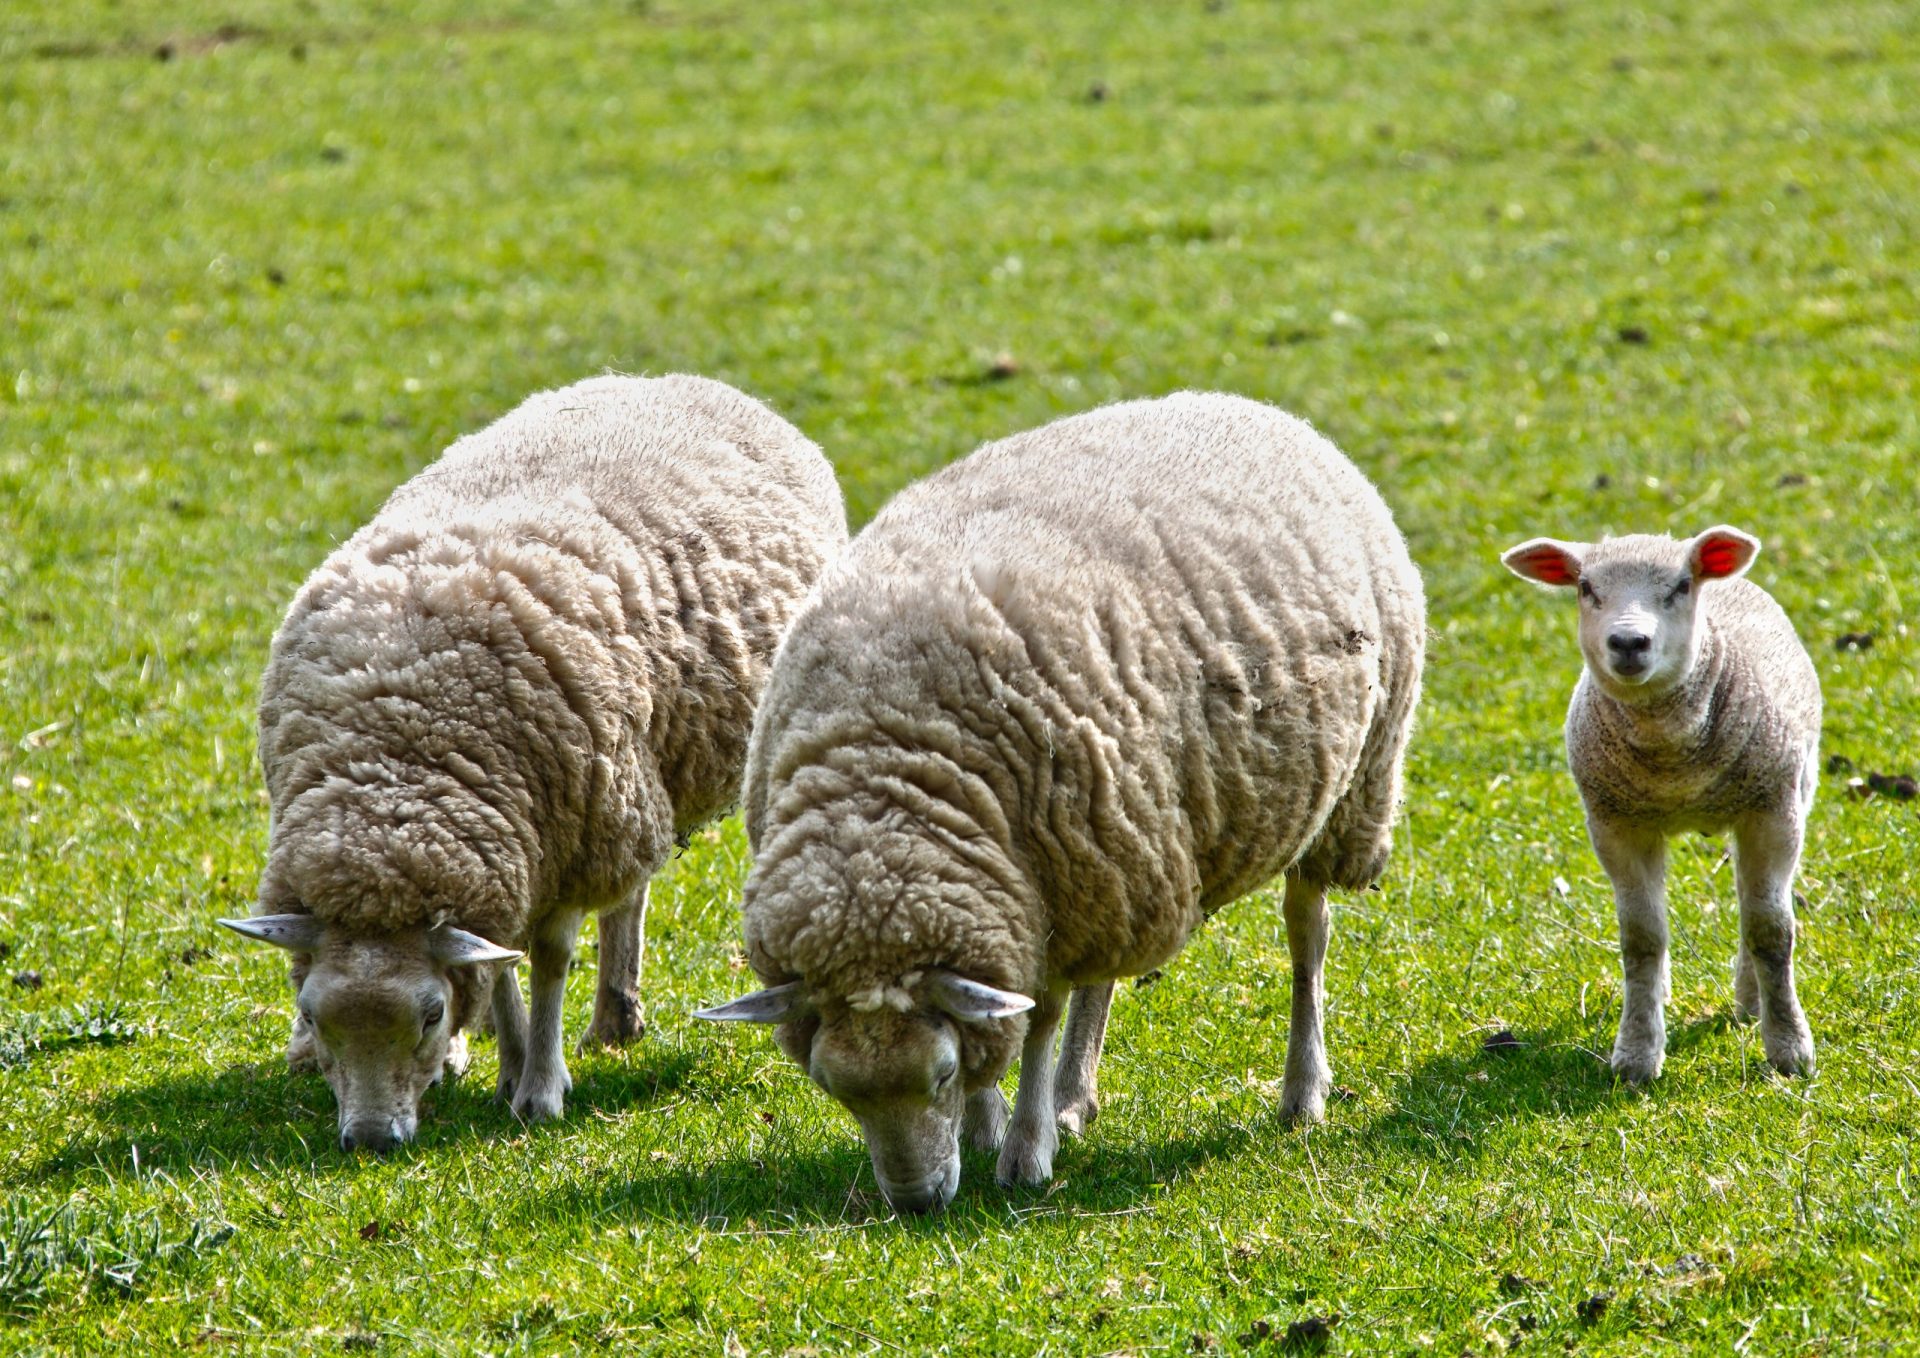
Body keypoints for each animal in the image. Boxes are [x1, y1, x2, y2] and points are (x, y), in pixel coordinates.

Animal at [222, 376, 848, 1152]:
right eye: (311, 1014)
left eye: (430, 1014)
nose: (370, 1140)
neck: (398, 764)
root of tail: (661, 378)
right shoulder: (508, 850)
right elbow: (499, 964)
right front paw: (510, 1061)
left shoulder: (566, 836)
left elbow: (547, 961)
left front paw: (539, 1089)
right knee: (630, 892)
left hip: (623, 789)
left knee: (626, 896)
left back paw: (612, 1017)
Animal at [698, 389, 1420, 1213]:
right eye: (833, 1089)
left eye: (939, 1075)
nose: (916, 1203)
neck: (885, 774)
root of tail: (1248, 405)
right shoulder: (1027, 887)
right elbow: (1011, 1010)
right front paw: (992, 1124)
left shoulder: (1042, 887)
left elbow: (1034, 1019)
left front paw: (1023, 1150)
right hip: (1120, 834)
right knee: (1102, 977)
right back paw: (1077, 1096)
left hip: (1340, 792)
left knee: (1307, 934)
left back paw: (1301, 1091)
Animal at [1497, 526, 1812, 1091]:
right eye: (1585, 588)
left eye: (1682, 585)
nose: (1628, 642)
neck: (1673, 767)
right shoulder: (1616, 825)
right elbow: (1642, 940)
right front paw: (1638, 1053)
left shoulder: (1772, 812)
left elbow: (1771, 931)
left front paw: (1788, 1048)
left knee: (1758, 904)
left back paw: (1750, 999)